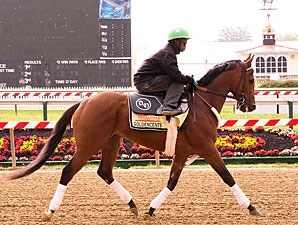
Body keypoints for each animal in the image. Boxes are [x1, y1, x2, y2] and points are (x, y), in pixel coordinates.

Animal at [5, 53, 260, 221]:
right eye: (251, 79)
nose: (251, 106)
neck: (202, 104)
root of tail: (84, 102)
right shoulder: (206, 147)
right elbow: (227, 176)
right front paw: (251, 207)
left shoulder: (183, 152)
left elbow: (172, 181)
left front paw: (151, 209)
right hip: (88, 145)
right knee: (68, 172)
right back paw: (50, 210)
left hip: (111, 141)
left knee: (105, 172)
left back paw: (132, 204)